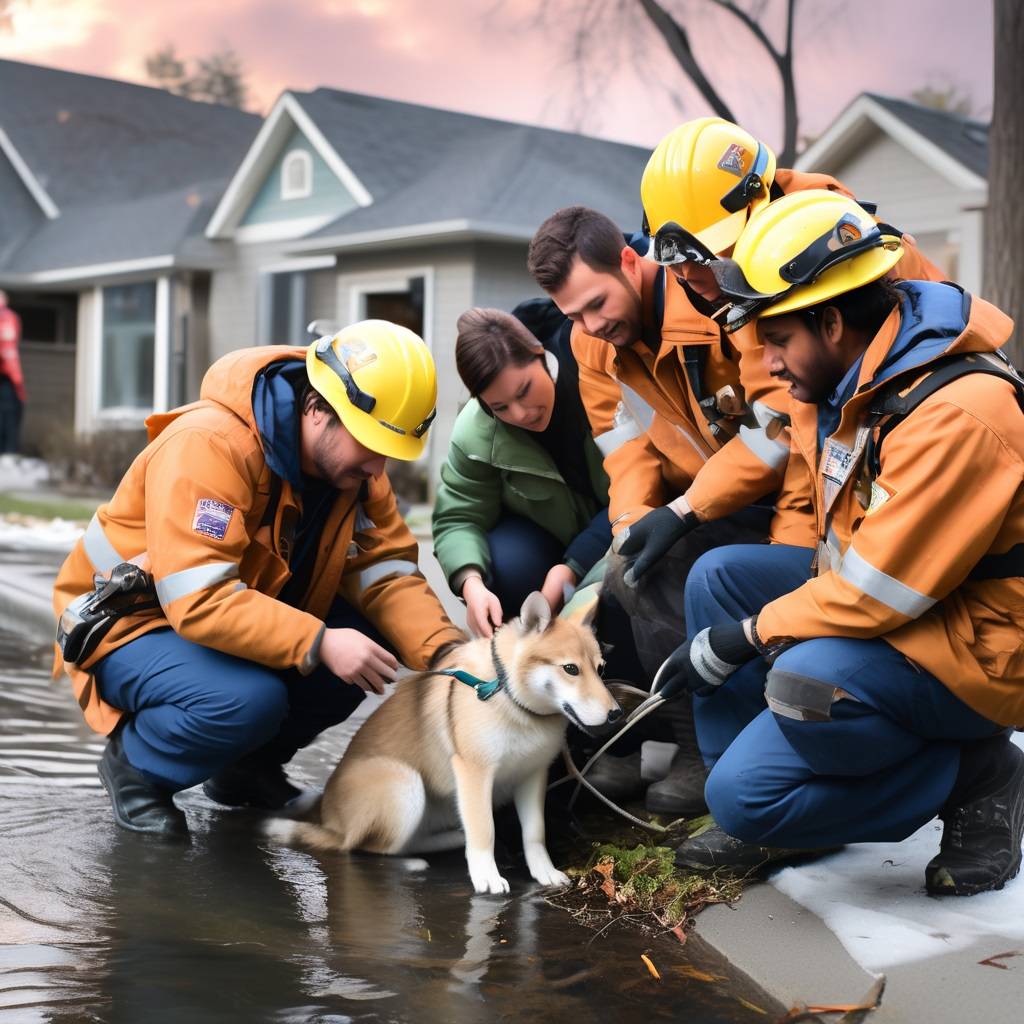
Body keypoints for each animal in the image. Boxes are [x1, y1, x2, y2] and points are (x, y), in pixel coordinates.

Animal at [264, 593, 618, 897]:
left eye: (600, 668)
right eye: (570, 669)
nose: (616, 714)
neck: (511, 699)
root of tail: (330, 820)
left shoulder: (532, 777)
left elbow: (535, 832)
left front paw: (544, 871)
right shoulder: (474, 773)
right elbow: (484, 829)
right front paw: (486, 875)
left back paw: (450, 838)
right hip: (404, 783)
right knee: (366, 846)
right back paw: (414, 860)